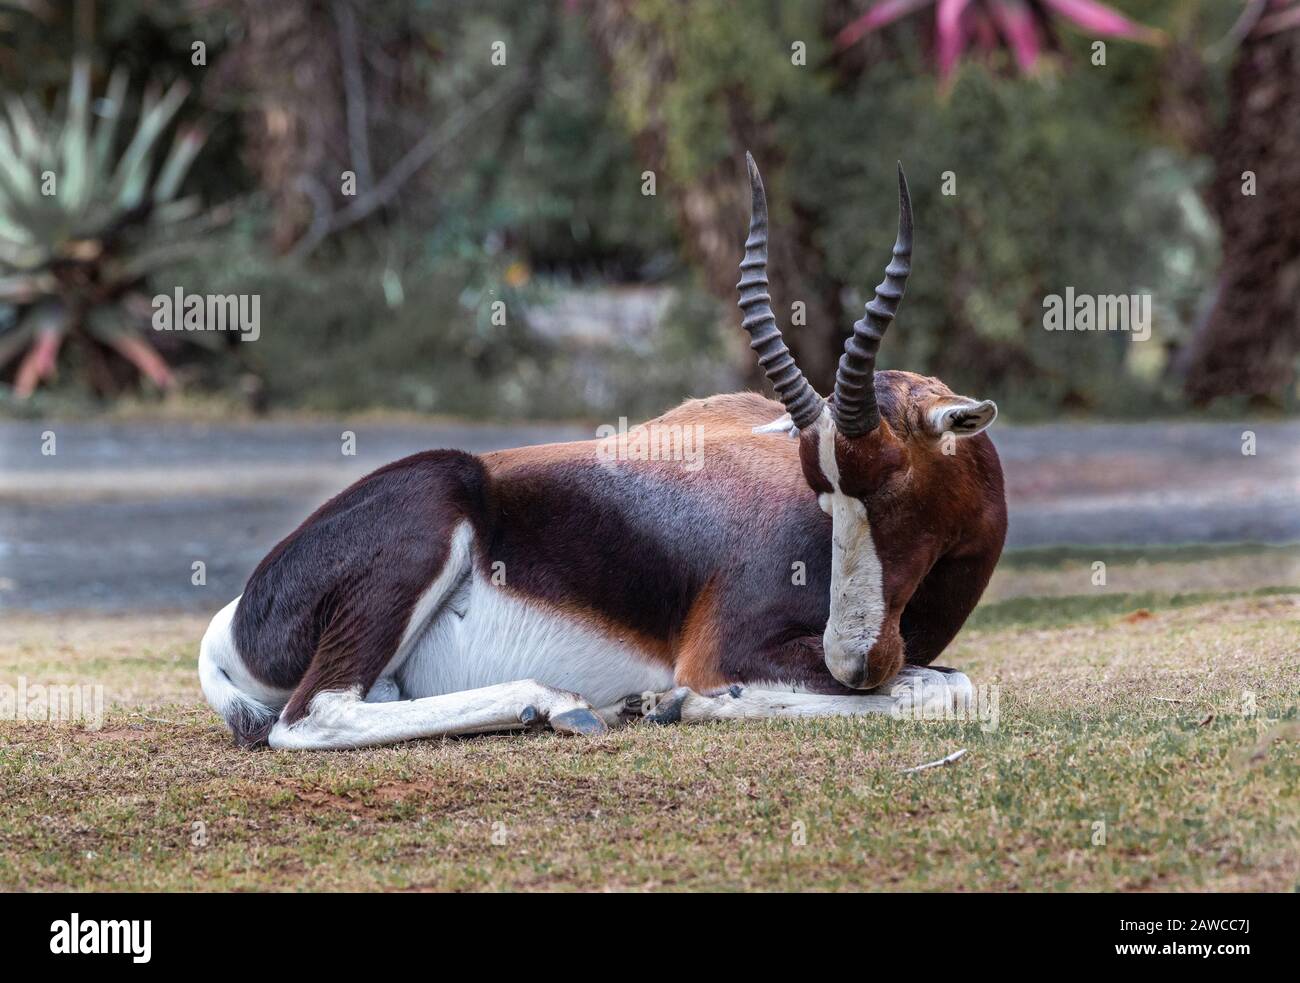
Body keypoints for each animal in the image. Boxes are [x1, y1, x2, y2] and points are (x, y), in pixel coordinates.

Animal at [197, 155, 1003, 754]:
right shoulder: (727, 650)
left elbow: (945, 683)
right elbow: (935, 690)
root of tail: (233, 622)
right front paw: (675, 703)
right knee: (312, 716)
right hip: (428, 505)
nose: (853, 659)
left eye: (890, 481)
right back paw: (562, 704)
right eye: (824, 489)